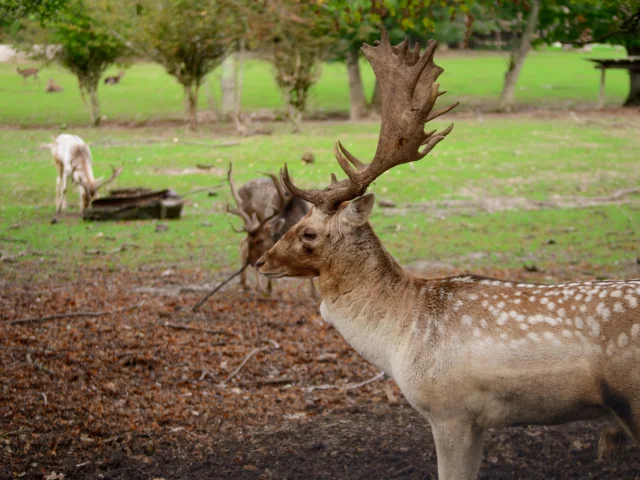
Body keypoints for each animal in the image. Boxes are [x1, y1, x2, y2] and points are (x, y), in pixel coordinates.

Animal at [226, 163, 316, 296]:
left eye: (261, 240)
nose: (250, 261)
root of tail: (240, 189)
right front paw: (269, 289)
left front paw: (315, 295)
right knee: (242, 243)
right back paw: (251, 285)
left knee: (242, 242)